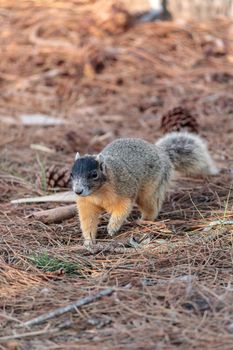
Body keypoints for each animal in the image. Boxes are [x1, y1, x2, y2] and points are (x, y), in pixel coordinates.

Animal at [70, 131, 218, 249]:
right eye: (71, 174)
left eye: (94, 174)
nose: (78, 191)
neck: (98, 192)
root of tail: (162, 153)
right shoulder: (86, 204)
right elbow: (88, 221)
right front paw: (89, 240)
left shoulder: (125, 191)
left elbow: (121, 209)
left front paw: (112, 227)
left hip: (150, 190)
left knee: (151, 207)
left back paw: (144, 219)